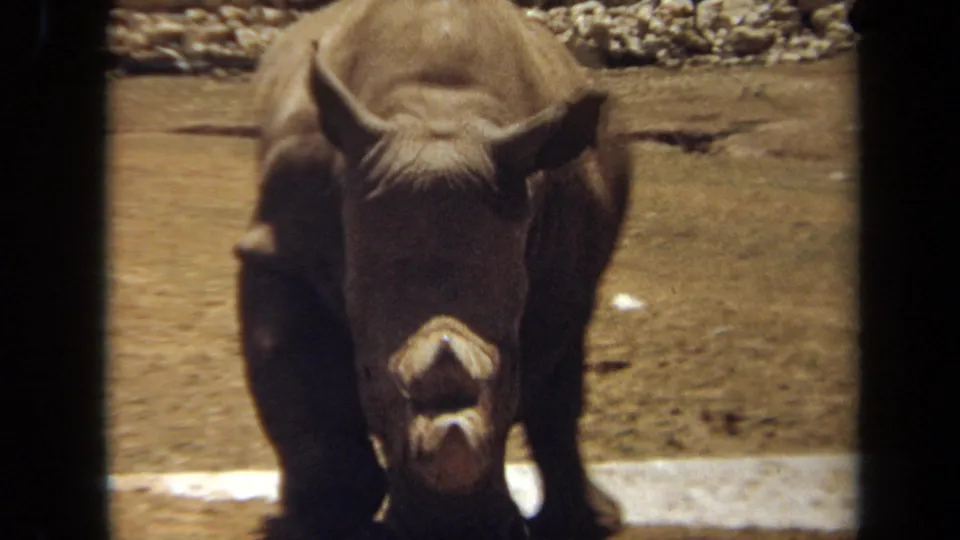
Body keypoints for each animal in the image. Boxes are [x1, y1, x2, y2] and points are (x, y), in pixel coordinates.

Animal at [233, 0, 631, 538]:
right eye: (367, 375)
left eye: (510, 371)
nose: (452, 531)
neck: (442, 110)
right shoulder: (281, 247)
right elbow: (300, 385)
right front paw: (318, 519)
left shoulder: (565, 266)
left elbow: (547, 380)